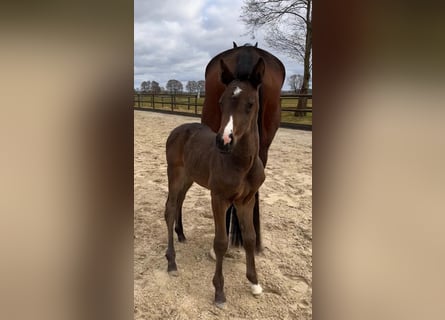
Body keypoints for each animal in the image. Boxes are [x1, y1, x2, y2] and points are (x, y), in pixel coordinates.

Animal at [165, 57, 266, 308]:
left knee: (179, 202)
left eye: (250, 103)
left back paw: (181, 235)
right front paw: (219, 292)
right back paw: (171, 262)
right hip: (175, 174)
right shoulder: (218, 198)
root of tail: (178, 130)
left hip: (189, 177)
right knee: (169, 208)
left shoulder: (246, 201)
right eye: (221, 102)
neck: (242, 164)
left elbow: (250, 237)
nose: (224, 141)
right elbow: (221, 242)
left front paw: (254, 282)